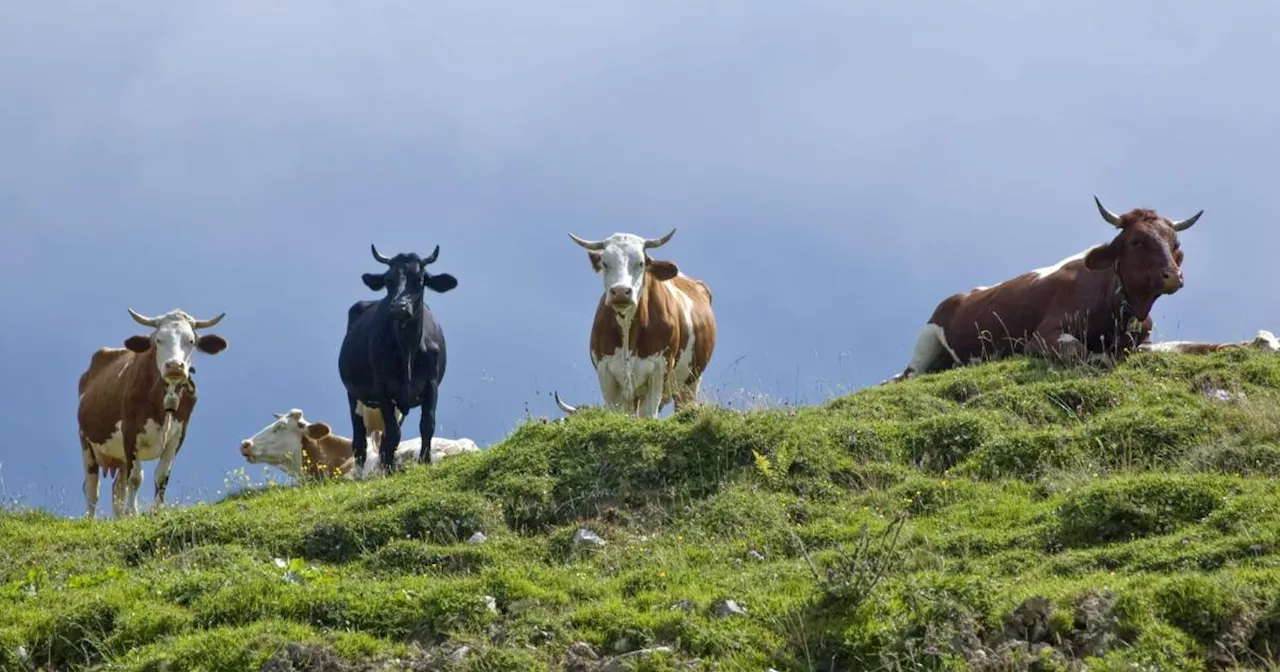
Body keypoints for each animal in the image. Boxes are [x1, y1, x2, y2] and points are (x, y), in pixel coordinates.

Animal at [76, 305, 229, 517]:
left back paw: (119, 517)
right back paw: (90, 519)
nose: (175, 365)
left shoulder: (178, 435)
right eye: (158, 340)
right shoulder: (130, 432)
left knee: (117, 489)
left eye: (191, 340)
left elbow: (162, 475)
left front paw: (156, 512)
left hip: (119, 455)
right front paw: (132, 512)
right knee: (92, 488)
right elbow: (135, 478)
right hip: (86, 442)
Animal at [337, 243, 458, 473]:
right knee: (359, 442)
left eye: (420, 280)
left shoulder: (431, 384)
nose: (398, 306)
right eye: (387, 281)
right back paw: (361, 474)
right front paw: (390, 471)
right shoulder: (383, 388)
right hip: (353, 395)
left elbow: (427, 425)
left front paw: (425, 461)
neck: (408, 349)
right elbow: (393, 434)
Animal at [555, 227, 721, 417]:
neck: (628, 329)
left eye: (641, 263)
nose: (620, 291)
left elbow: (648, 413)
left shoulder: (659, 370)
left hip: (690, 383)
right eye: (605, 263)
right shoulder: (605, 372)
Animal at [896, 197, 1203, 378]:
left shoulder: (1145, 341)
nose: (1173, 275)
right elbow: (1080, 352)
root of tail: (963, 294)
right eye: (1137, 241)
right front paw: (1099, 356)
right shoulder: (1042, 336)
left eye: (1174, 243)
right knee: (910, 374)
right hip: (926, 340)